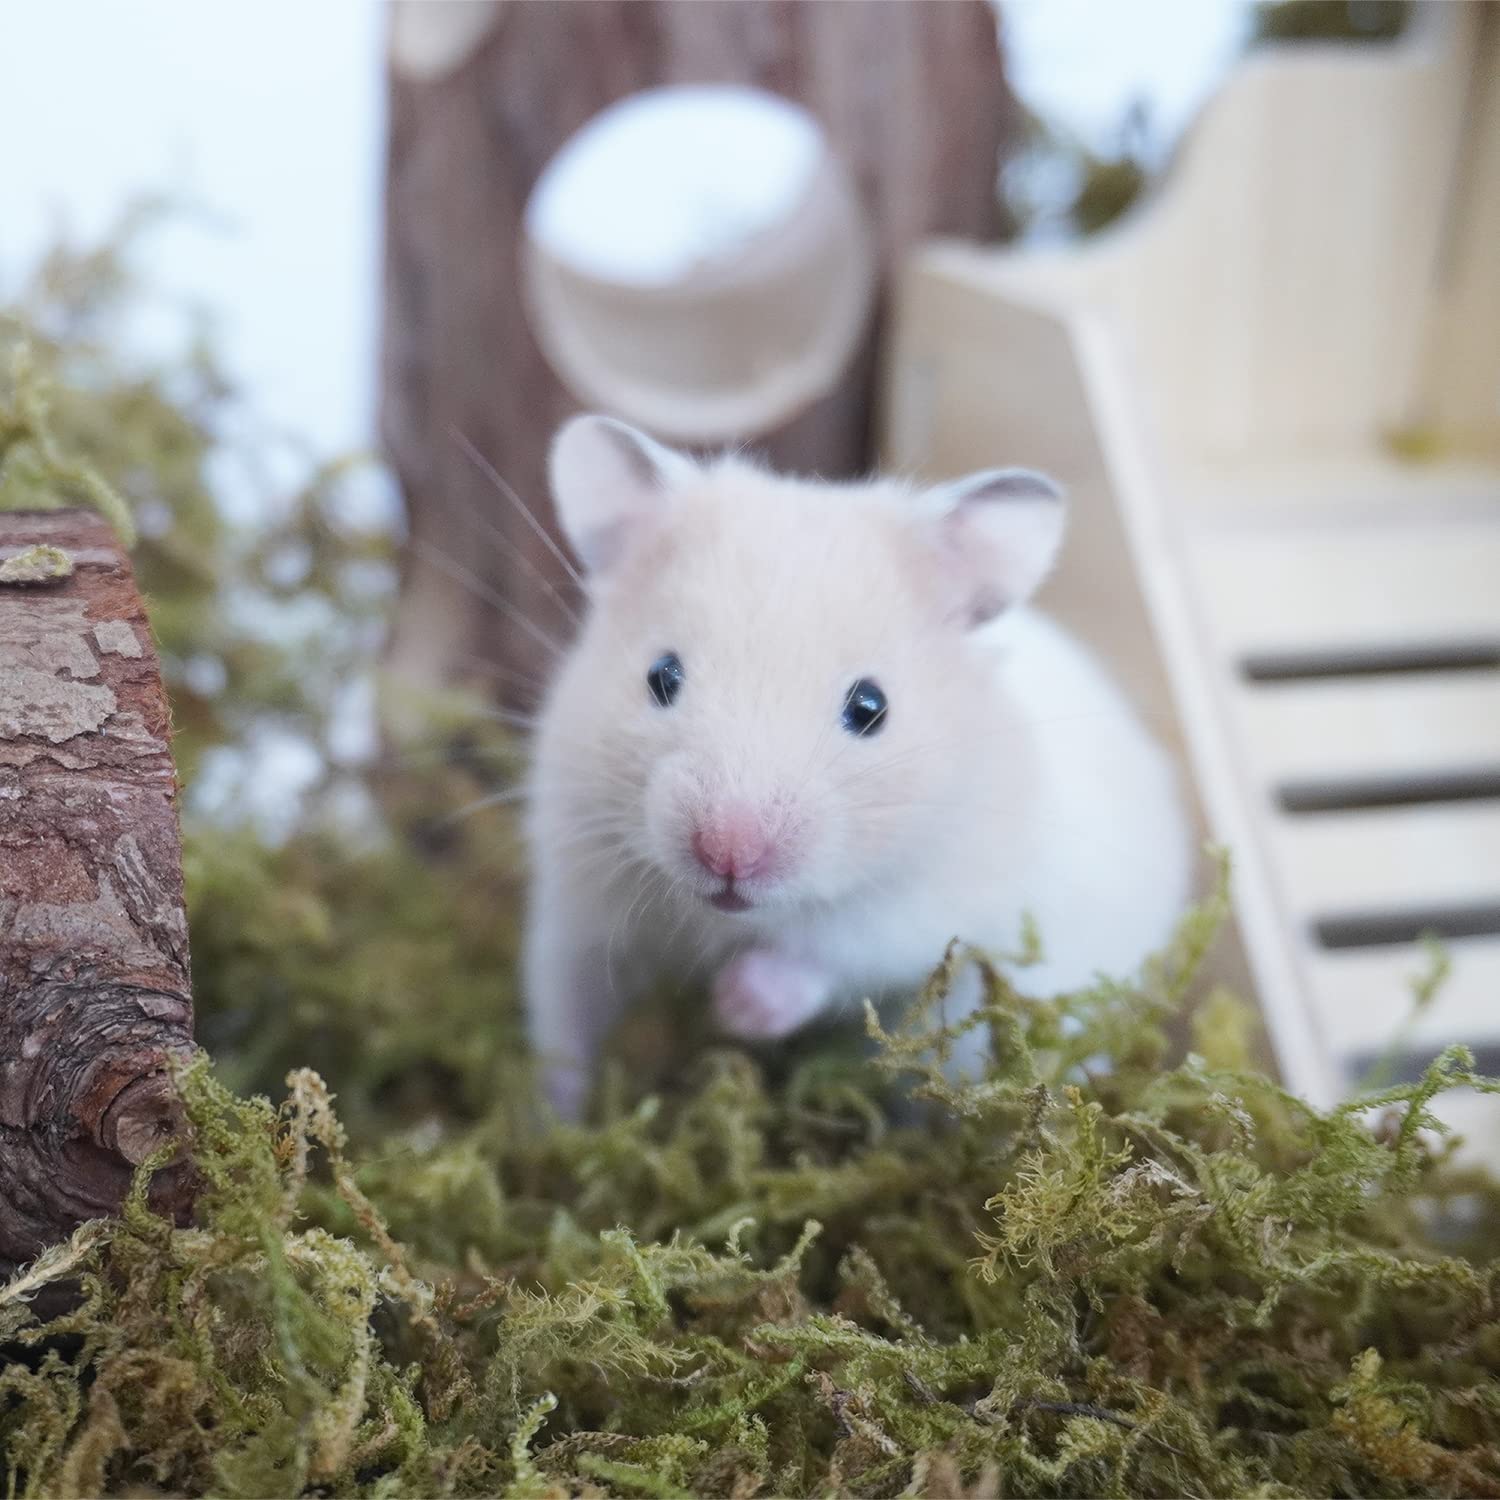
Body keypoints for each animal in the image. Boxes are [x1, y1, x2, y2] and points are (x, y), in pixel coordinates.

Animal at [523, 414, 1191, 1120]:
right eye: (661, 677)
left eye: (871, 707)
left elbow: (835, 952)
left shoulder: (925, 908)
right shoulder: (575, 898)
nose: (728, 855)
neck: (728, 919)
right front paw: (551, 1121)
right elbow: (563, 1016)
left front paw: (736, 1008)